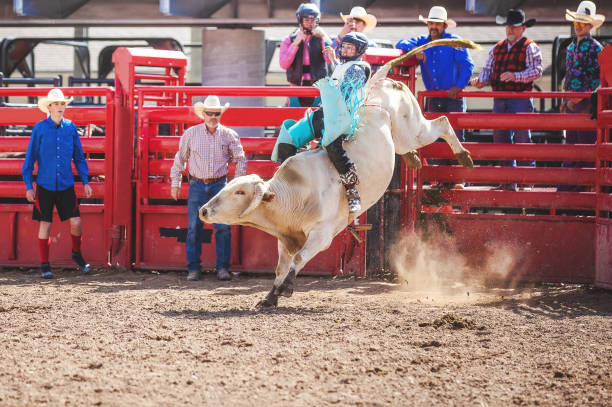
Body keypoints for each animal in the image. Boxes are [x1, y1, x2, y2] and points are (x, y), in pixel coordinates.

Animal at [200, 39, 478, 308]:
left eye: (239, 192)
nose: (203, 210)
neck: (294, 193)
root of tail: (380, 79)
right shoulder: (285, 236)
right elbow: (280, 266)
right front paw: (270, 296)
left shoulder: (321, 235)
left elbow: (298, 259)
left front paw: (286, 288)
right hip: (401, 140)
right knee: (414, 143)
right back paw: (414, 158)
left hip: (413, 129)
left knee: (442, 122)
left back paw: (464, 156)